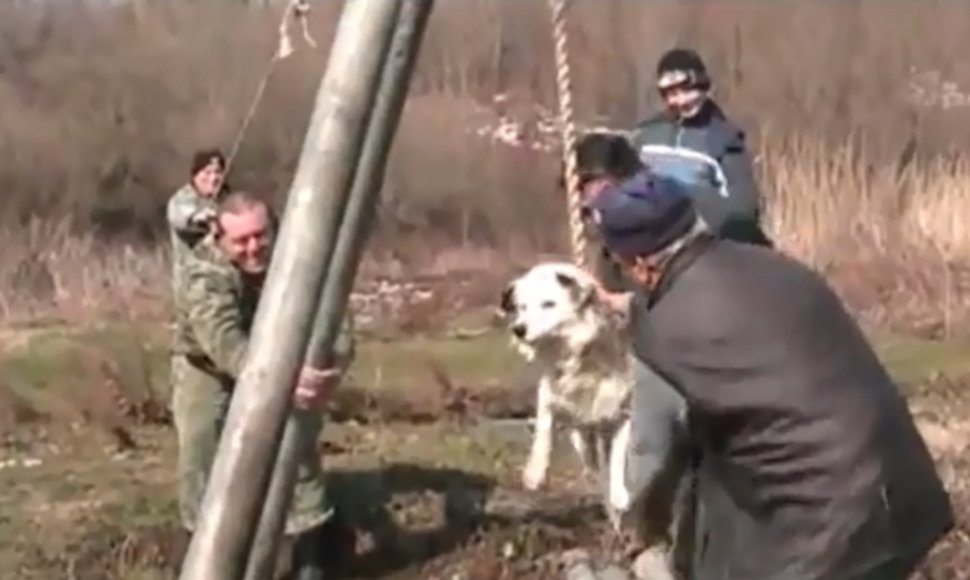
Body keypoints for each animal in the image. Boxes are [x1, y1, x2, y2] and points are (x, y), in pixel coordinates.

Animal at [500, 260, 636, 524]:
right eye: (522, 307)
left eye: (548, 304)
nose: (518, 329)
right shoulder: (549, 398)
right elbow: (543, 436)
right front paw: (534, 473)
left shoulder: (621, 413)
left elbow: (616, 459)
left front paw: (619, 495)